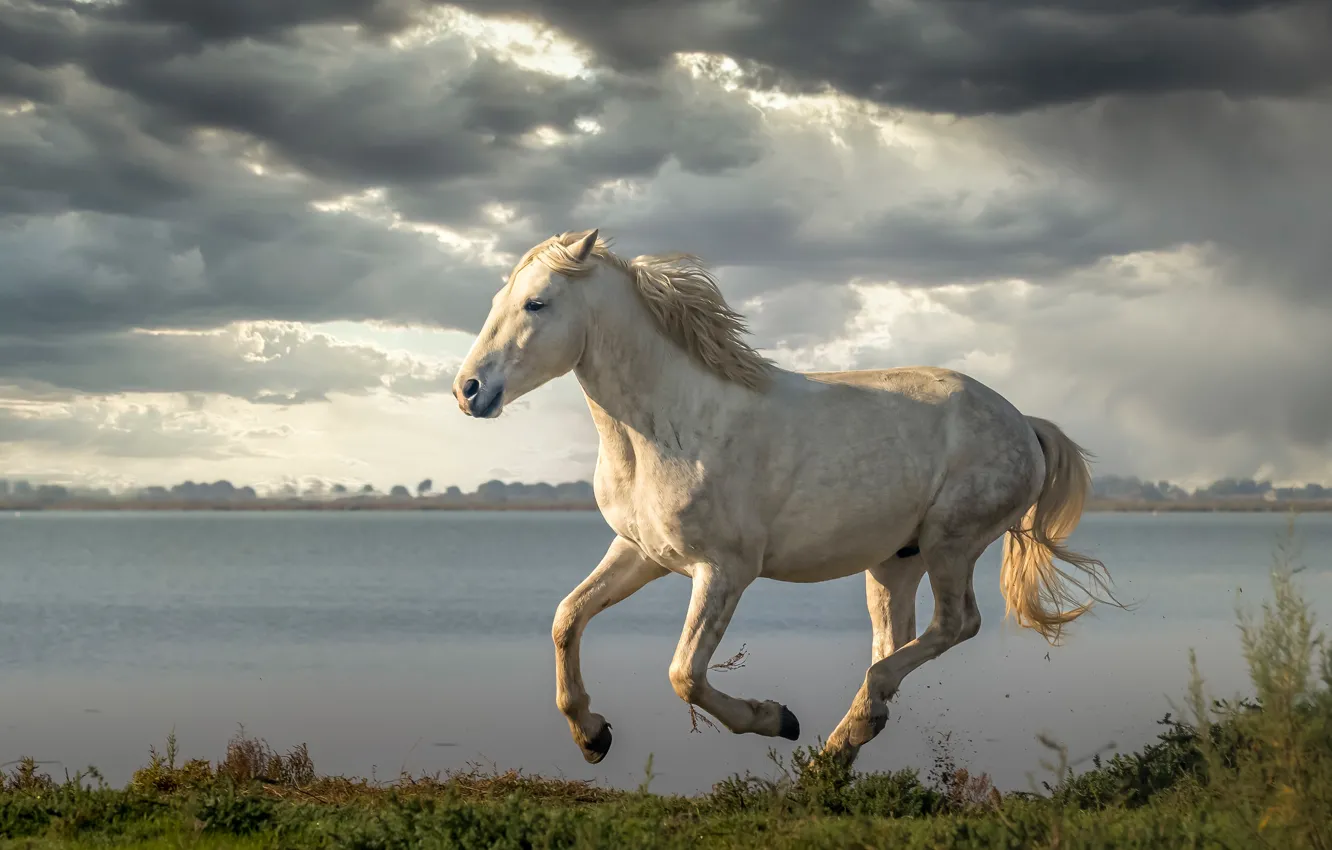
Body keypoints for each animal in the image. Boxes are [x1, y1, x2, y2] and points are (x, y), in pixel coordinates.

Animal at [452, 228, 1119, 769]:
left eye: (537, 303)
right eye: (496, 303)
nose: (469, 390)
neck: (670, 426)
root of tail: (1023, 423)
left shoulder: (724, 570)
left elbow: (684, 674)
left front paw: (777, 718)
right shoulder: (640, 552)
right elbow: (568, 618)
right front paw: (591, 736)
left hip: (950, 543)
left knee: (955, 625)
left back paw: (837, 736)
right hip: (894, 561)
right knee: (896, 642)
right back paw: (842, 747)